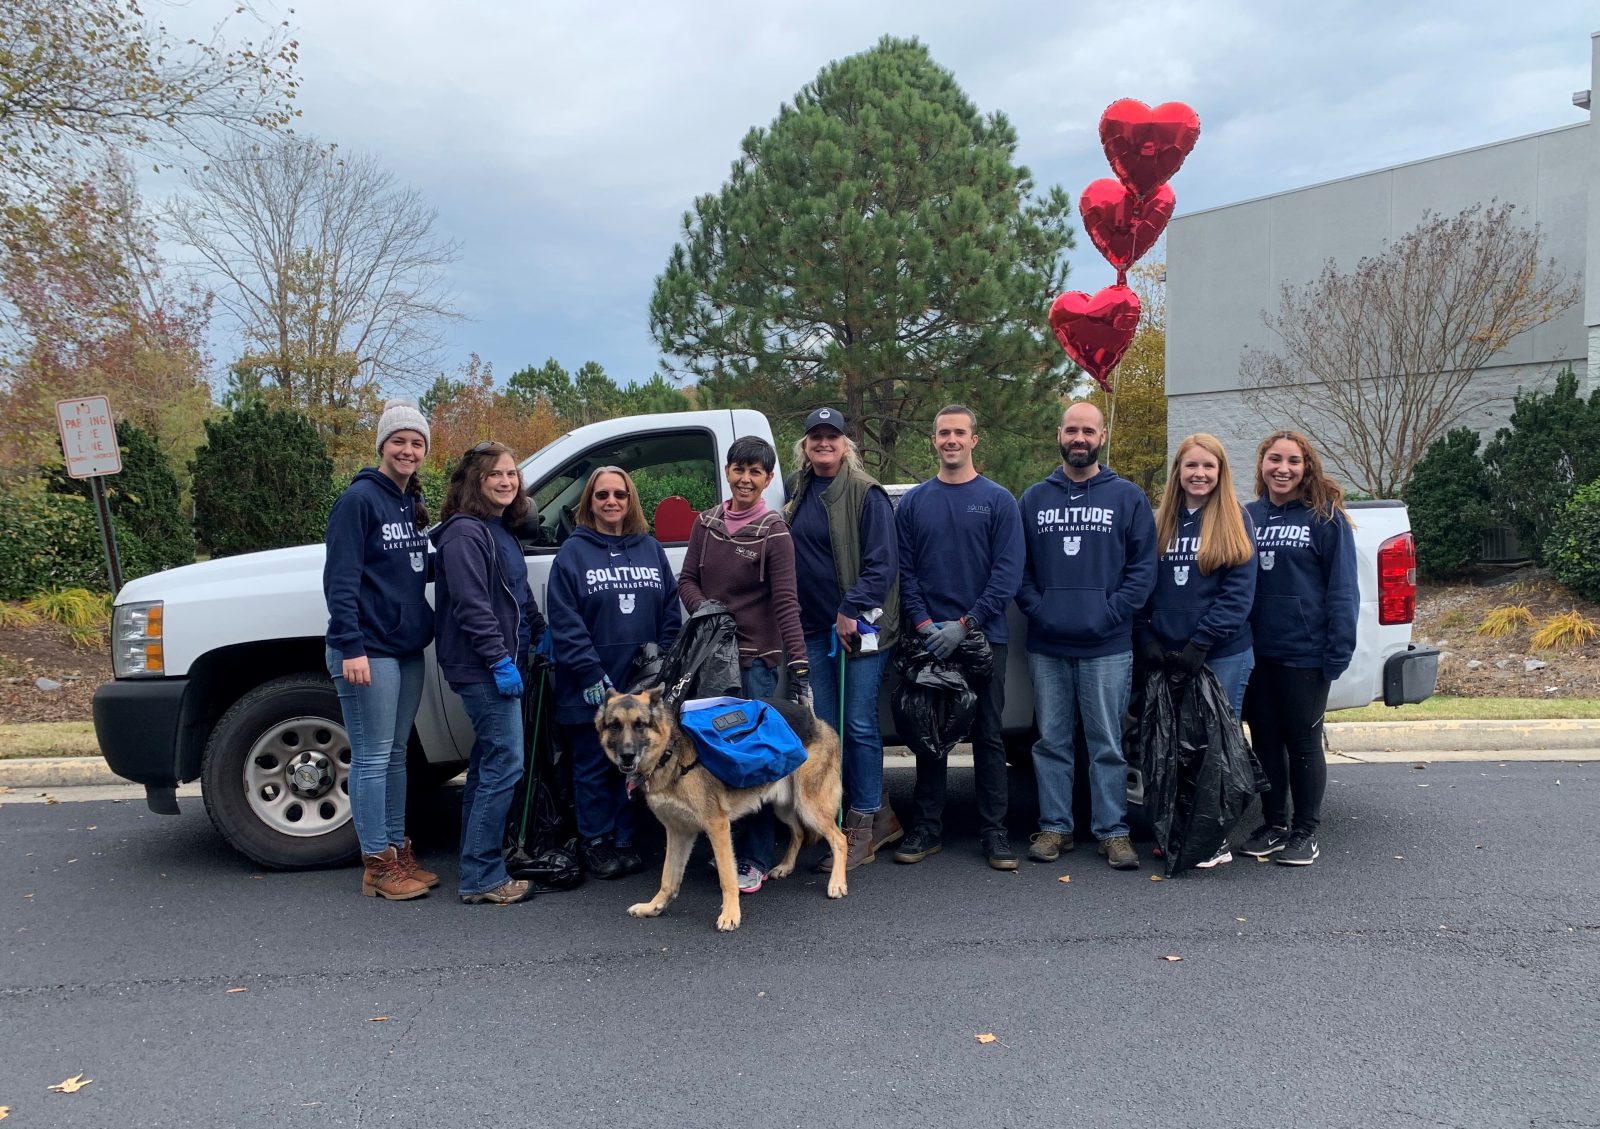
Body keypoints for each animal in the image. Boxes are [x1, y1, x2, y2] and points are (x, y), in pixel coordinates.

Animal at [601, 681, 851, 927]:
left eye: (640, 725)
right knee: (798, 832)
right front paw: (654, 907)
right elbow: (668, 878)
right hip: (786, 806)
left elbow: (726, 877)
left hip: (809, 807)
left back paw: (837, 883)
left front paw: (731, 914)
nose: (627, 755)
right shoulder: (678, 832)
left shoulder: (717, 827)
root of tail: (818, 721)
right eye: (614, 726)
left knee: (839, 839)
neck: (670, 752)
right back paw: (786, 867)